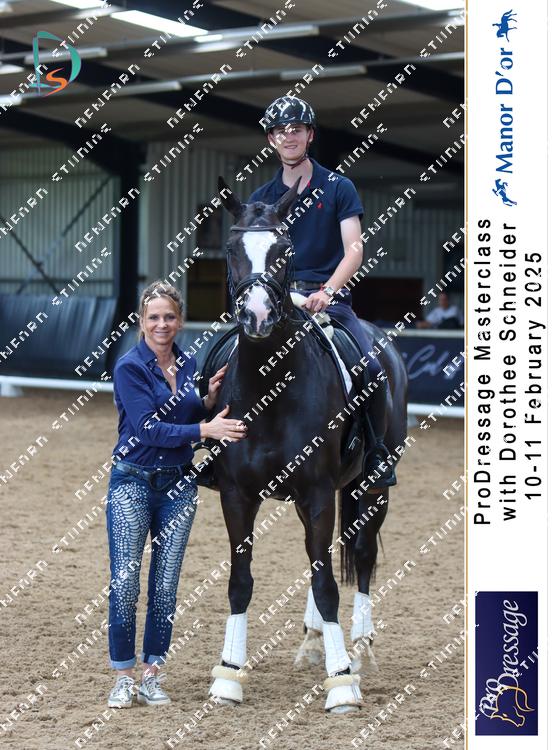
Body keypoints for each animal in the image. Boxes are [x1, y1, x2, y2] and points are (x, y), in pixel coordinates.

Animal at [202, 177, 408, 713]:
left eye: (284, 250)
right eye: (231, 250)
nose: (256, 316)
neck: (269, 387)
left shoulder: (316, 493)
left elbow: (328, 581)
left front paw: (342, 683)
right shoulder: (237, 495)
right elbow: (241, 580)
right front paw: (228, 675)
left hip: (371, 486)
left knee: (360, 556)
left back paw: (359, 648)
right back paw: (314, 640)